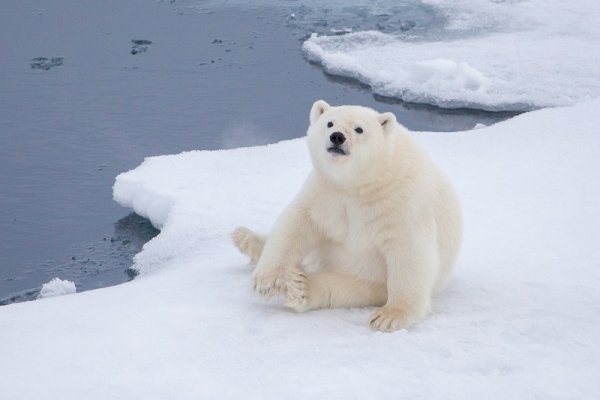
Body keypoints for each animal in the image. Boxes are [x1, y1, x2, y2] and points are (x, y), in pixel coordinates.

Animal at [232, 100, 462, 332]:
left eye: (359, 129)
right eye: (329, 123)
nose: (337, 137)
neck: (360, 185)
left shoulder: (402, 203)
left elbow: (410, 252)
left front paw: (390, 316)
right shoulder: (326, 194)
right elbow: (296, 223)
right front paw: (266, 281)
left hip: (369, 280)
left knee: (348, 288)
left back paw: (301, 287)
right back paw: (245, 238)